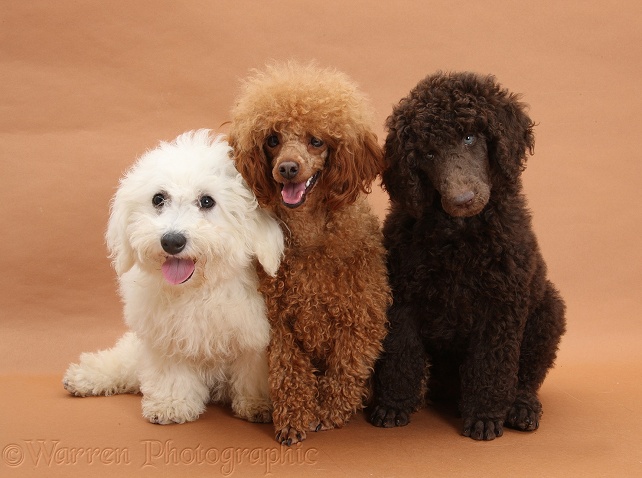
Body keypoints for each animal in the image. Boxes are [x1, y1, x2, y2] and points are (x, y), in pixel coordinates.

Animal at [63, 129, 282, 424]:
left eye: (207, 201)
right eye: (158, 199)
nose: (172, 241)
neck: (199, 290)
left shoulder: (254, 340)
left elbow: (252, 373)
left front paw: (257, 404)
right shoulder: (167, 338)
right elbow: (172, 374)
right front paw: (171, 404)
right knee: (125, 361)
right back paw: (85, 376)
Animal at [230, 61, 390, 446]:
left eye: (316, 140)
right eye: (273, 139)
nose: (288, 168)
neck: (311, 236)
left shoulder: (361, 318)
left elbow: (346, 369)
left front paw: (329, 413)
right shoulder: (280, 323)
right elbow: (289, 372)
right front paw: (293, 420)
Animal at [370, 71, 564, 440]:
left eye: (470, 137)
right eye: (428, 155)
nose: (462, 199)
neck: (459, 236)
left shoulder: (501, 305)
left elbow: (491, 363)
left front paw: (485, 415)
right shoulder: (402, 300)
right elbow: (401, 355)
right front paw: (393, 404)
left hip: (548, 312)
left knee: (527, 375)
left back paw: (521, 408)